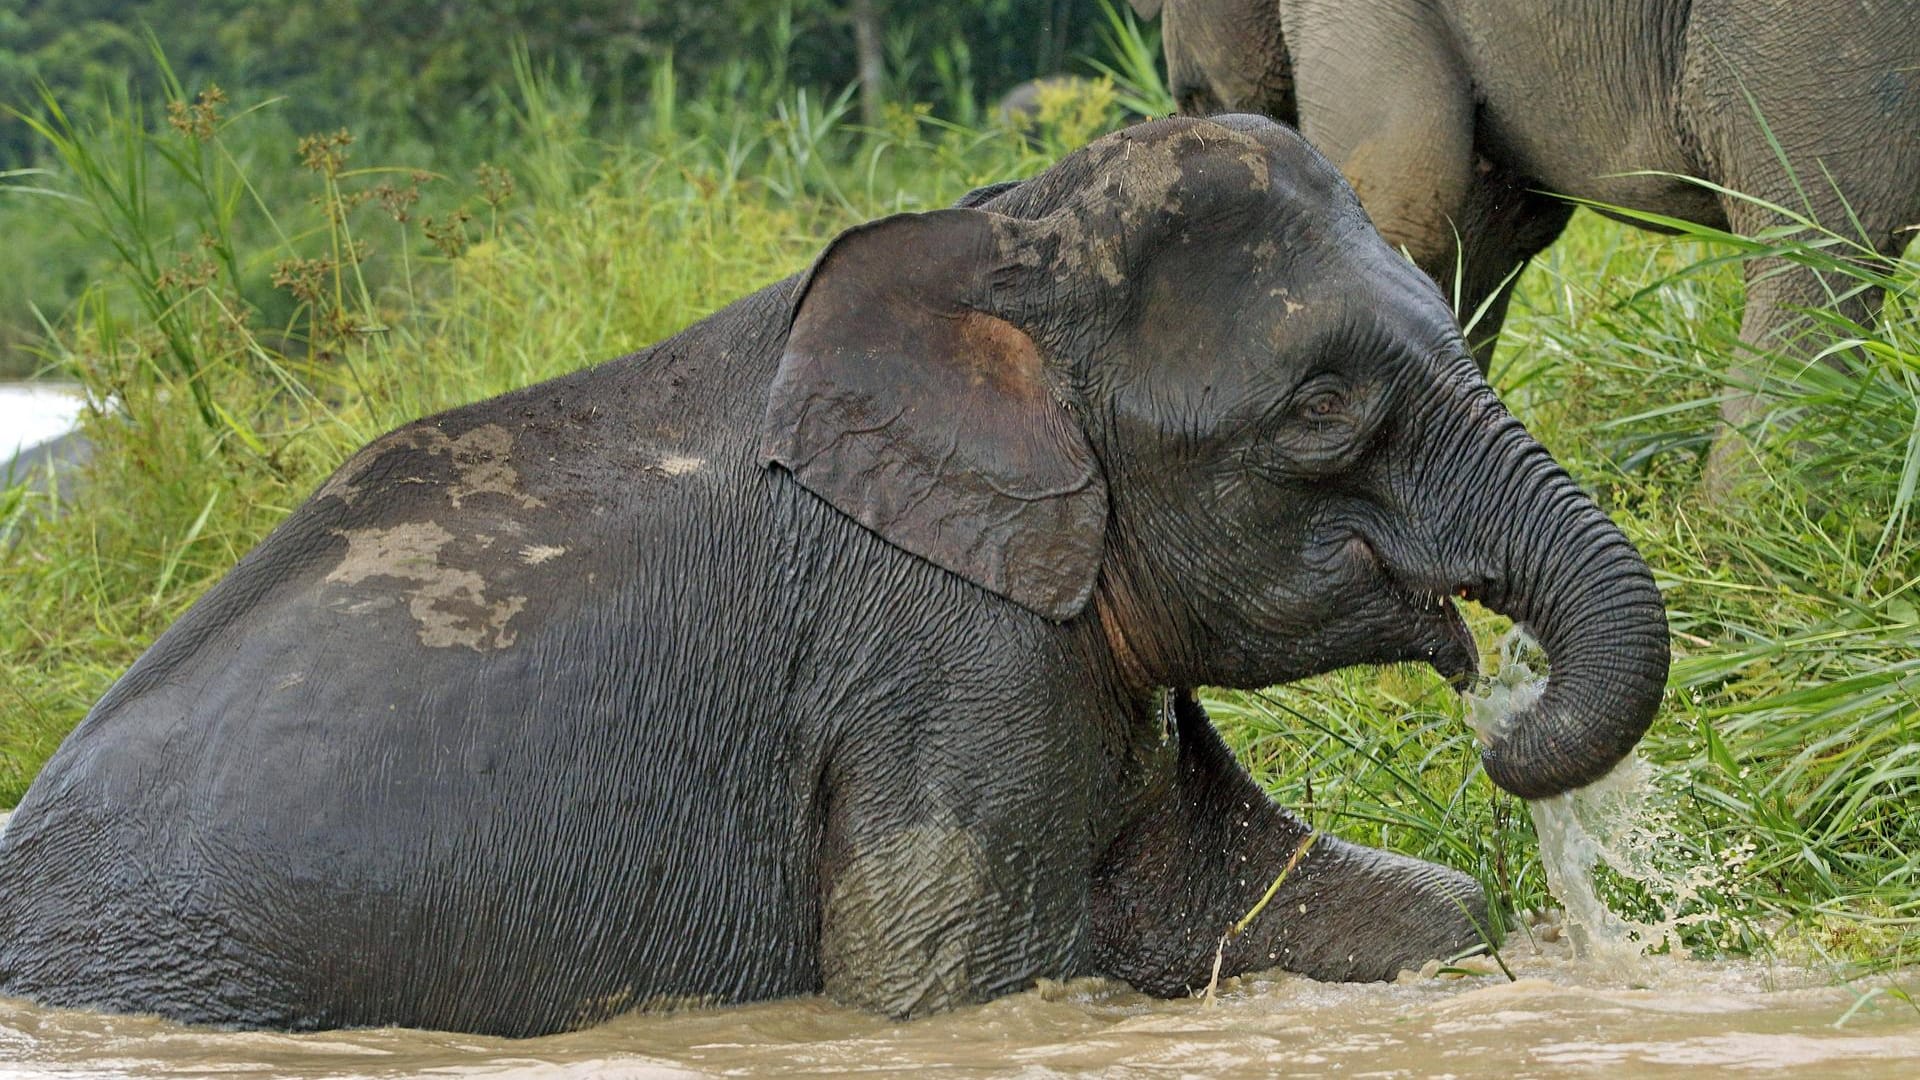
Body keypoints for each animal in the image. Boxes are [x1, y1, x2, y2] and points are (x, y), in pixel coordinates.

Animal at [0, 115, 1666, 1037]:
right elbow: (959, 991)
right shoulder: (944, 656)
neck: (998, 228)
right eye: (1321, 408)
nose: (1500, 704)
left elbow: (1389, 908)